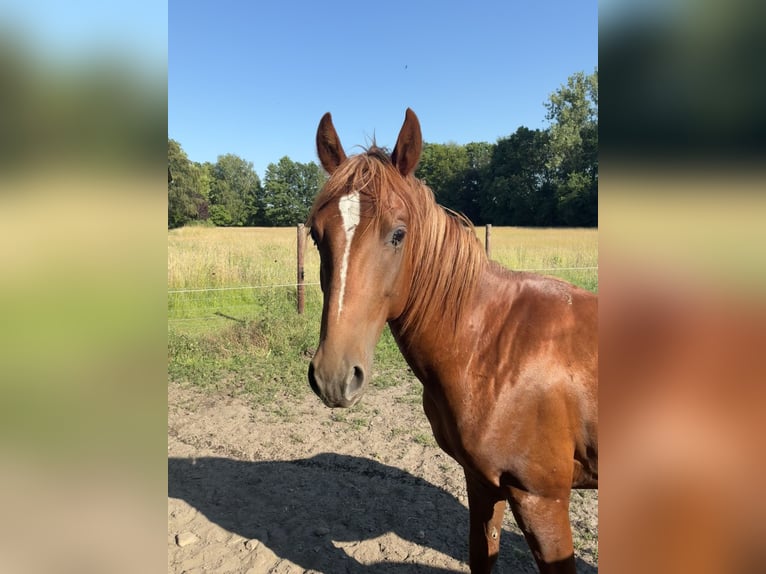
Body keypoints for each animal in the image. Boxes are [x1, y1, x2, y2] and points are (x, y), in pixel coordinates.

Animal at [306, 109, 598, 573]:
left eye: (399, 233)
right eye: (316, 235)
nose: (333, 377)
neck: (493, 349)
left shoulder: (543, 501)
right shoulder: (482, 484)